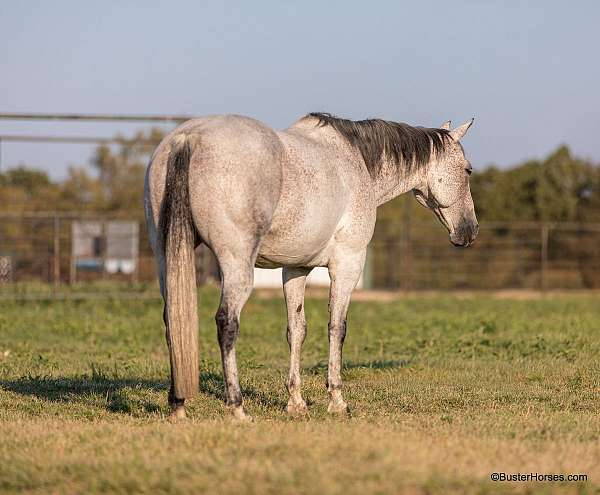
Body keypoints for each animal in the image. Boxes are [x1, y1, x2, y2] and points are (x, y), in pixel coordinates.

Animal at [145, 113, 478, 422]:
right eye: (467, 170)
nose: (470, 231)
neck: (357, 161)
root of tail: (189, 138)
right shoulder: (347, 264)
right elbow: (337, 328)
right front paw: (337, 400)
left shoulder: (295, 270)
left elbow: (297, 330)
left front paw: (296, 402)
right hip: (237, 265)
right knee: (227, 323)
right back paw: (237, 408)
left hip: (167, 258)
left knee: (172, 319)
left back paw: (178, 405)